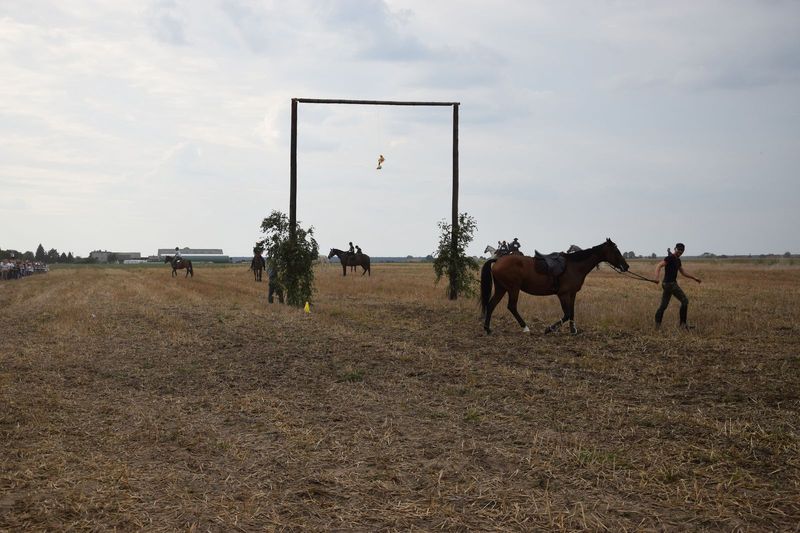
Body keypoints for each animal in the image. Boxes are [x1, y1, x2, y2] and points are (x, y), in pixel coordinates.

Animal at [478, 239, 628, 334]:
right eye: (616, 251)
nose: (626, 266)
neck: (574, 265)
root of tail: (498, 260)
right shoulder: (563, 294)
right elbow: (567, 314)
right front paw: (549, 329)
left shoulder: (572, 294)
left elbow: (572, 312)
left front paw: (573, 330)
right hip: (513, 289)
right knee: (511, 306)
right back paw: (525, 328)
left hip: (501, 288)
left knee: (491, 305)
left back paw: (487, 329)